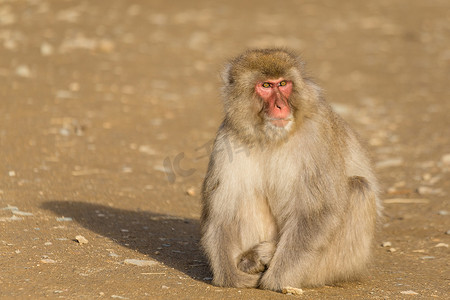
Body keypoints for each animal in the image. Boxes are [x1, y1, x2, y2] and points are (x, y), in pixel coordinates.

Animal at [200, 48, 380, 290]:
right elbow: (221, 214)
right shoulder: (227, 138)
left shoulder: (317, 133)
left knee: (359, 188)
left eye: (284, 83)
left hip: (342, 263)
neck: (271, 137)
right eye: (266, 86)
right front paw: (231, 276)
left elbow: (317, 212)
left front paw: (277, 279)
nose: (280, 106)